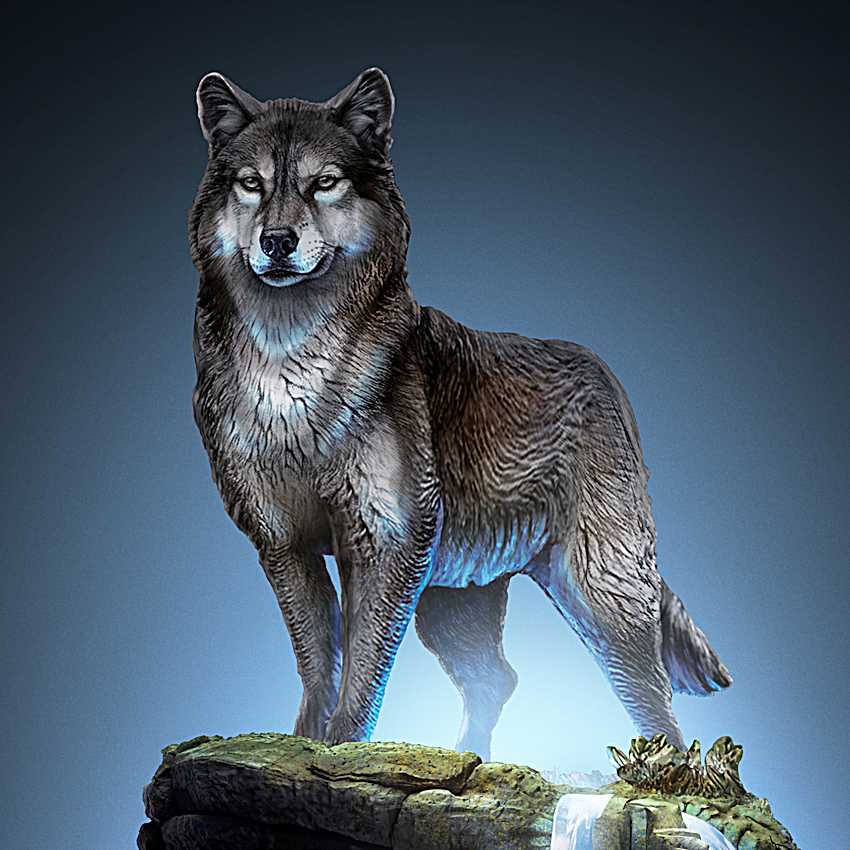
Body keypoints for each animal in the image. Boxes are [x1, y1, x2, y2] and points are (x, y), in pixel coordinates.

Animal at [189, 67, 731, 760]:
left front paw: (342, 754)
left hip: (600, 592)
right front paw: (302, 747)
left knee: (654, 703)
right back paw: (470, 757)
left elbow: (361, 673)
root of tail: (605, 372)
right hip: (450, 599)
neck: (290, 366)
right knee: (498, 678)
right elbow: (319, 663)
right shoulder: (284, 545)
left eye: (324, 182)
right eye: (252, 184)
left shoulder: (385, 543)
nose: (276, 241)